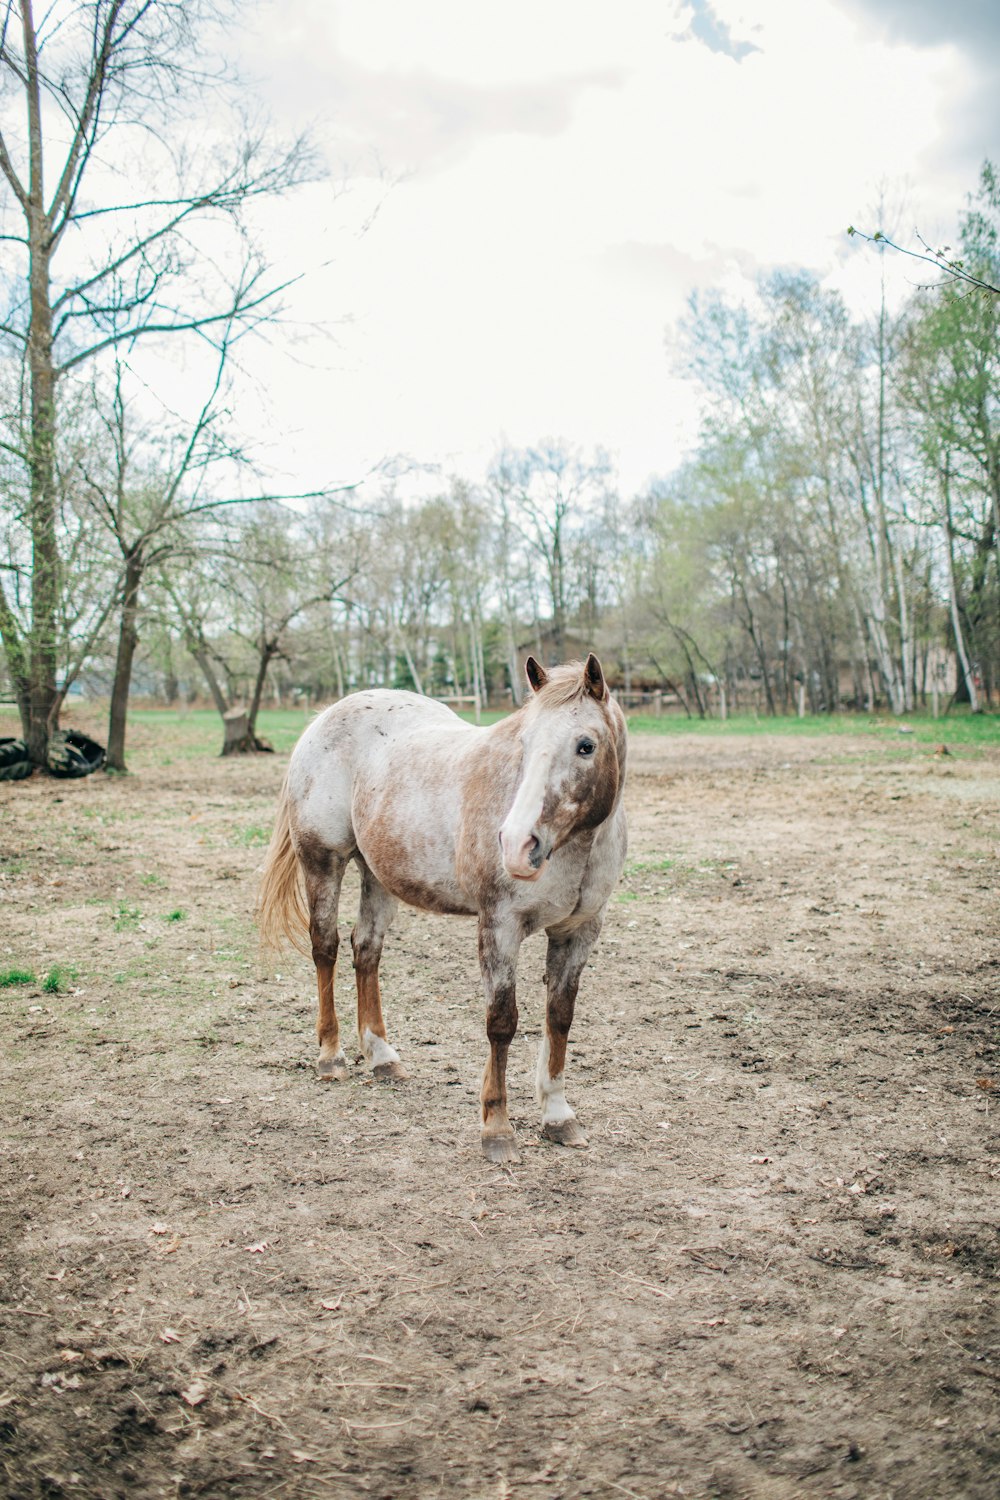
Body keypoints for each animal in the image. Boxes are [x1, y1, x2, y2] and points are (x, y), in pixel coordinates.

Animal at [262, 654, 629, 1158]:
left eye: (586, 746)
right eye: (525, 743)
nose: (517, 845)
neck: (577, 848)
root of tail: (325, 717)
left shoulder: (579, 932)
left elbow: (559, 1018)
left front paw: (558, 1116)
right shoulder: (500, 926)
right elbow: (502, 1023)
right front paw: (496, 1129)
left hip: (378, 875)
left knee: (365, 950)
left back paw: (382, 1057)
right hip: (322, 862)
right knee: (326, 947)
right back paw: (331, 1056)